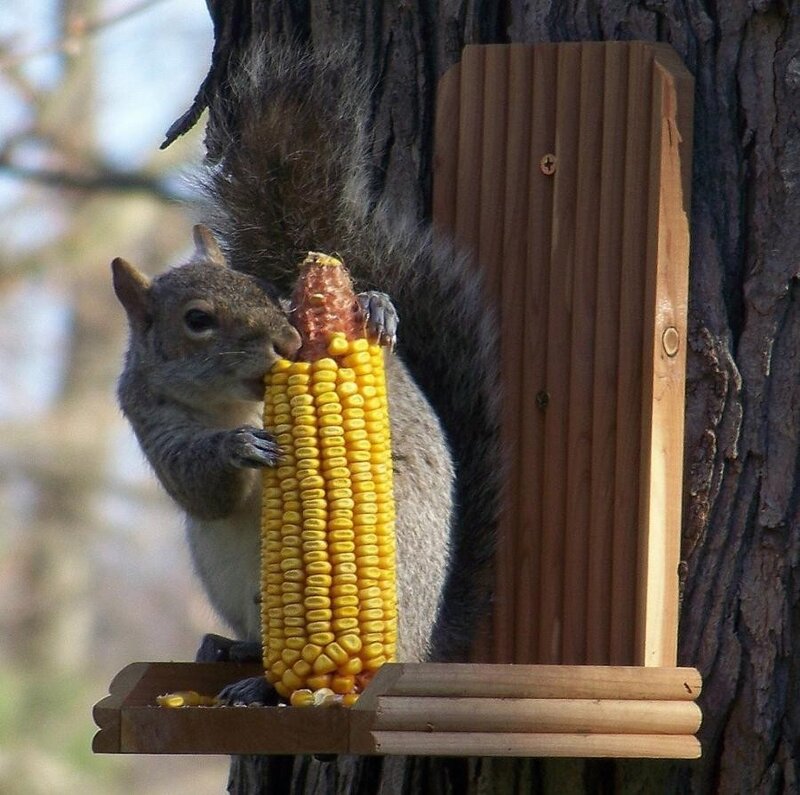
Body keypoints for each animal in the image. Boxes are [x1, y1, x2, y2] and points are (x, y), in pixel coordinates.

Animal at [113, 41, 501, 697]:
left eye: (268, 292)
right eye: (197, 320)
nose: (290, 338)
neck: (238, 400)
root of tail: (423, 649)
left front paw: (375, 305)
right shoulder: (149, 415)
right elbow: (198, 486)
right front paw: (240, 446)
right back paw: (239, 656)